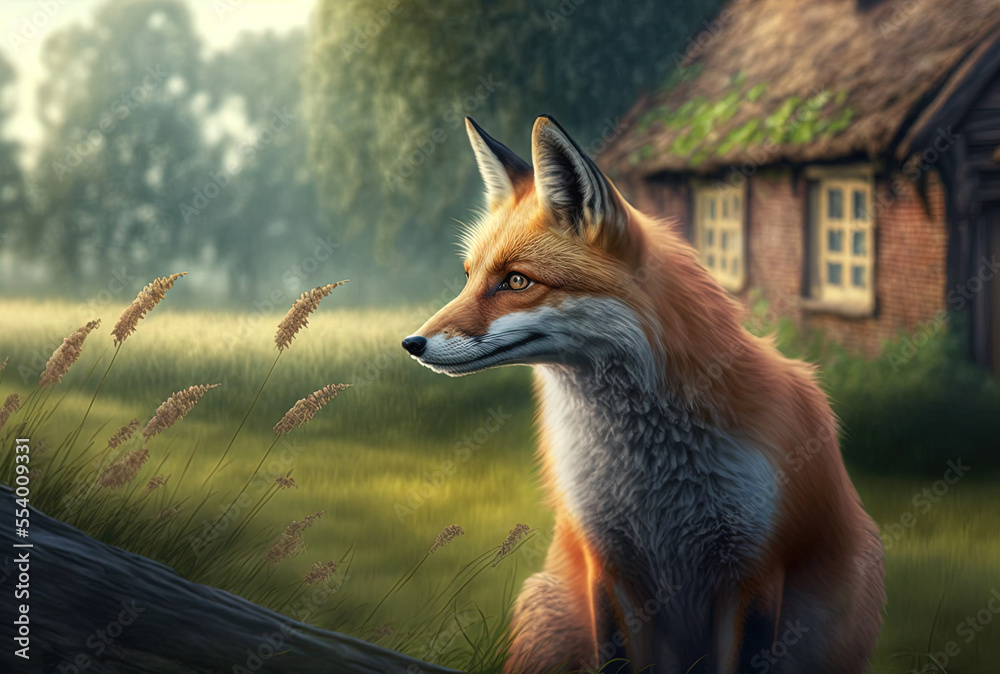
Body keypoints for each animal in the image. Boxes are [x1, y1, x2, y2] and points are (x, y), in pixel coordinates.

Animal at [402, 115, 885, 673]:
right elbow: (617, 659)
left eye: (516, 281)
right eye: (468, 277)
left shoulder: (756, 571)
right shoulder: (609, 565)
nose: (412, 344)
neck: (649, 475)